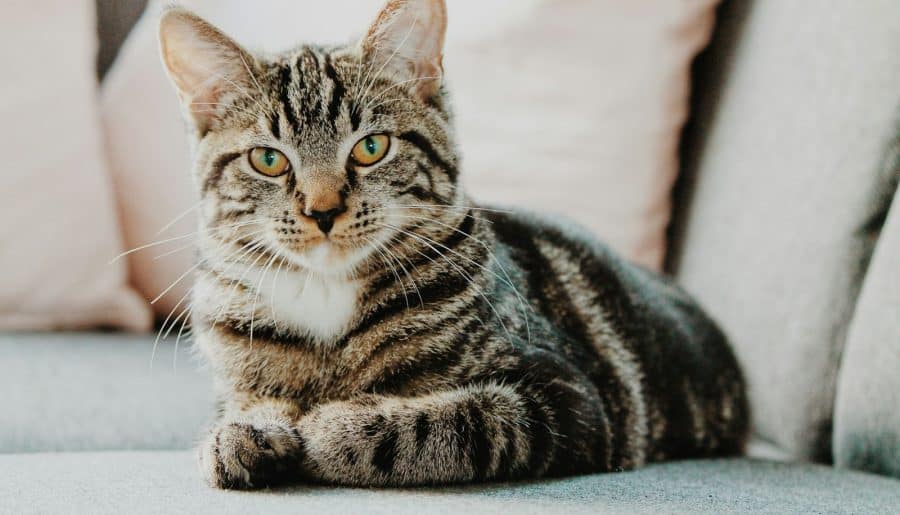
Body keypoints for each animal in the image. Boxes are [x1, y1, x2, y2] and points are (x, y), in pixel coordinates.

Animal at [158, 0, 748, 492]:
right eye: (268, 159)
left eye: (371, 147)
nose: (323, 211)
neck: (327, 296)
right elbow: (240, 405)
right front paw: (242, 431)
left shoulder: (567, 398)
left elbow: (447, 421)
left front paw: (332, 426)